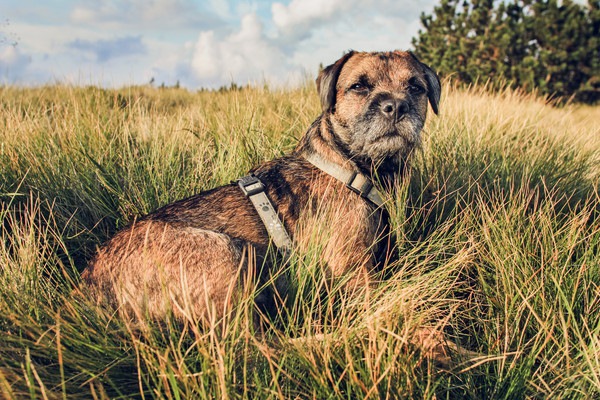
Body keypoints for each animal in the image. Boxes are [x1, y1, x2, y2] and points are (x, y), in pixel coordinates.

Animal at [81, 50, 440, 324]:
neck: (350, 167)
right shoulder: (354, 275)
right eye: (359, 86)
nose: (396, 106)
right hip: (228, 253)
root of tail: (90, 283)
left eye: (415, 87)